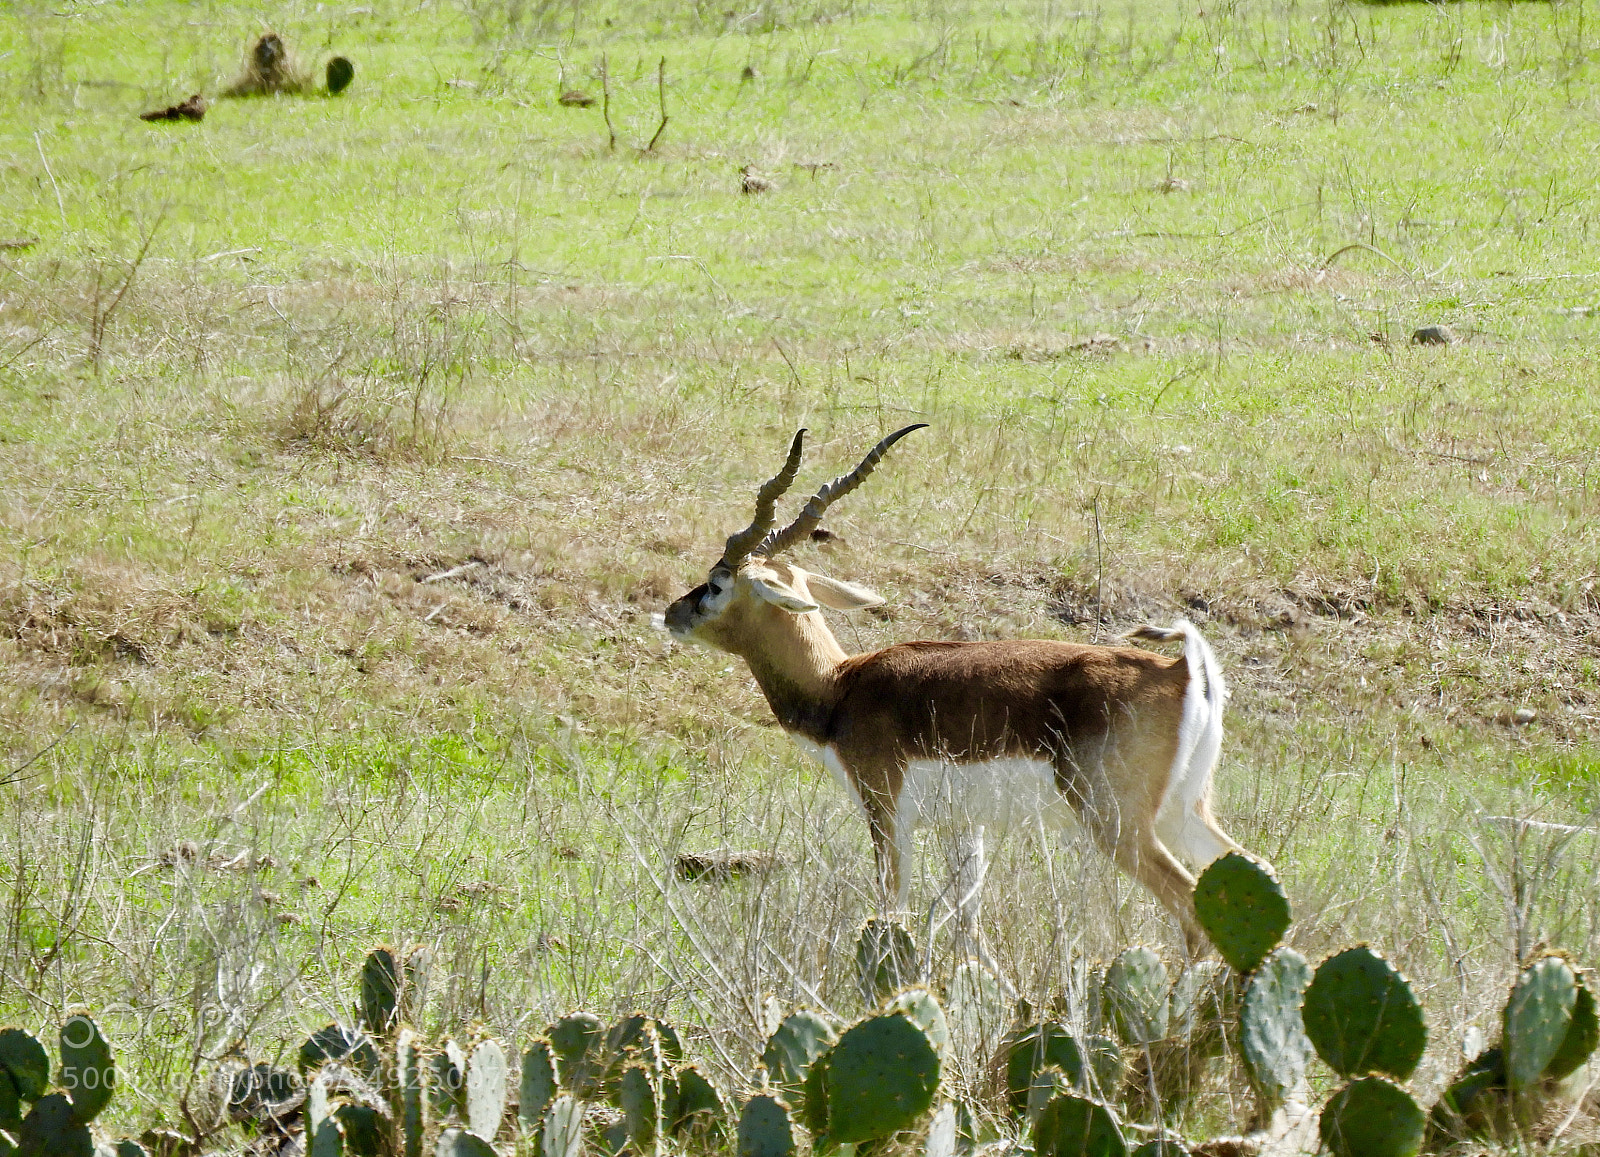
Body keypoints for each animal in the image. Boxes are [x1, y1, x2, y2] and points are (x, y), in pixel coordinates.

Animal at [665, 425, 1256, 958]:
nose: (672, 613)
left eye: (716, 583)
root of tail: (1181, 670)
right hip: (1183, 811)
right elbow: (968, 925)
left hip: (1118, 823)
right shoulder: (965, 827)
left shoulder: (886, 813)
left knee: (1194, 915)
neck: (840, 689)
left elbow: (893, 911)